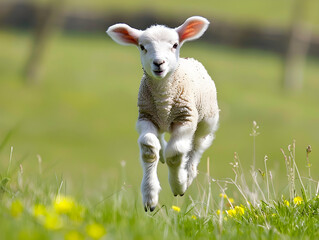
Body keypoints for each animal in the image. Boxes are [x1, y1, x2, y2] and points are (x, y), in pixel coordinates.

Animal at [107, 16, 220, 212]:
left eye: (174, 45)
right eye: (142, 46)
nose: (159, 63)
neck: (164, 97)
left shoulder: (186, 118)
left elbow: (175, 154)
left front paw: (179, 185)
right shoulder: (146, 117)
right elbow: (149, 148)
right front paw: (150, 197)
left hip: (207, 120)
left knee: (198, 145)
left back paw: (188, 173)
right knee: (161, 140)